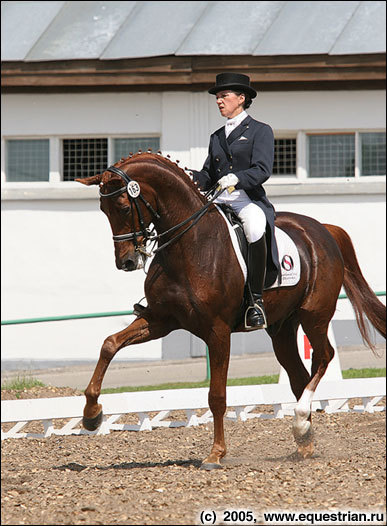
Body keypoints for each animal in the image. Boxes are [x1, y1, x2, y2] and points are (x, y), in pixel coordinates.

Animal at [75, 152, 384, 470]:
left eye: (124, 207)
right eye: (103, 209)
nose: (125, 262)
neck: (189, 244)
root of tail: (322, 229)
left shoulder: (218, 330)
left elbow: (217, 396)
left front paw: (216, 453)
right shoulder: (160, 320)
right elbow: (110, 344)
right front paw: (91, 415)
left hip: (315, 315)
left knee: (324, 357)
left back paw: (300, 422)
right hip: (282, 328)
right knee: (298, 376)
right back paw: (305, 441)